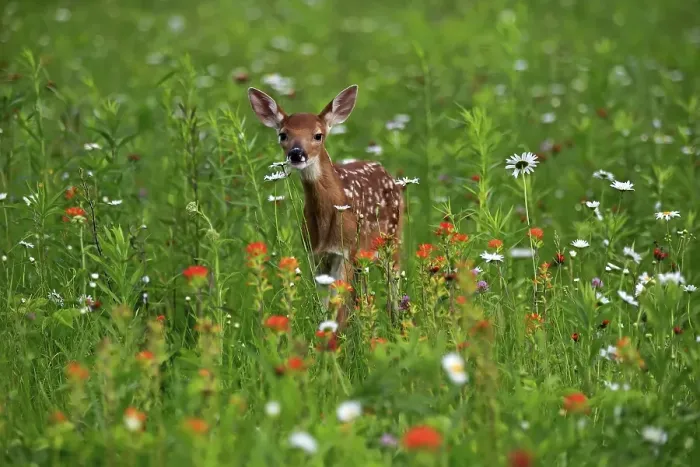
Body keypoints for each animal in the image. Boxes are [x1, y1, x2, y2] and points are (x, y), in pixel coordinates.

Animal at [247, 85, 404, 330]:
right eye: (283, 134)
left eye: (318, 135)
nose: (296, 154)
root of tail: (385, 172)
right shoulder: (316, 254)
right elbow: (325, 307)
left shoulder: (344, 250)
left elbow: (337, 306)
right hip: (363, 257)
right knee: (360, 294)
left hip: (392, 240)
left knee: (392, 288)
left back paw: (396, 325)